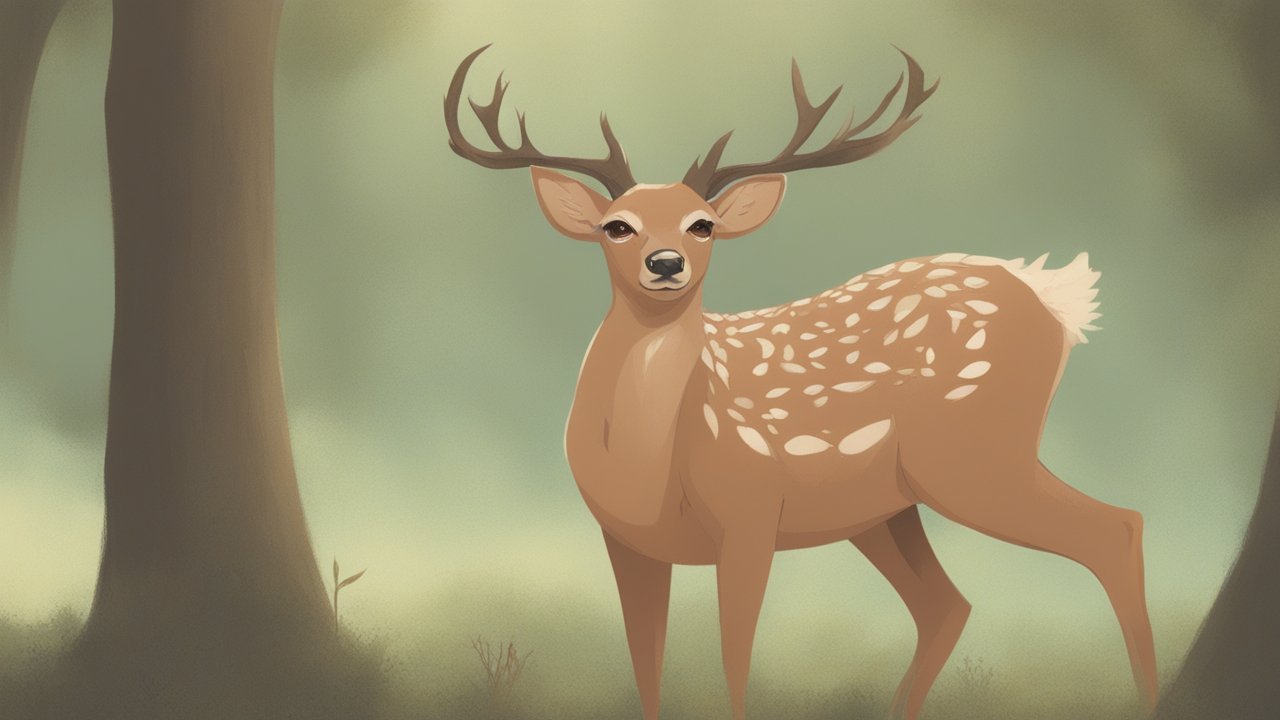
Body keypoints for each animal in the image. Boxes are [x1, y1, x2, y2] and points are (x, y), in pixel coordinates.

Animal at [445, 45, 1157, 720]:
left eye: (702, 223)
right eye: (616, 225)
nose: (666, 263)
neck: (650, 464)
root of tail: (1055, 297)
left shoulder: (752, 513)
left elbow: (735, 659)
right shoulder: (624, 541)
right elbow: (645, 666)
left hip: (976, 457)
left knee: (1115, 529)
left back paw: (1149, 695)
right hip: (889, 505)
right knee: (947, 604)